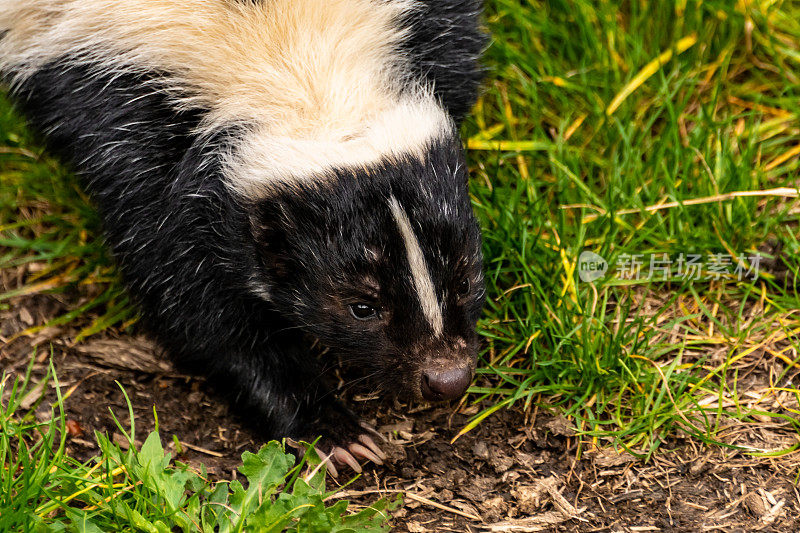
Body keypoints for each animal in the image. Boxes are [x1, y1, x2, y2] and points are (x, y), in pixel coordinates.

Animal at [1, 0, 482, 474]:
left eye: (464, 278)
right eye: (361, 308)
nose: (446, 377)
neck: (295, 60)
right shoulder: (124, 113)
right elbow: (191, 300)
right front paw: (329, 428)